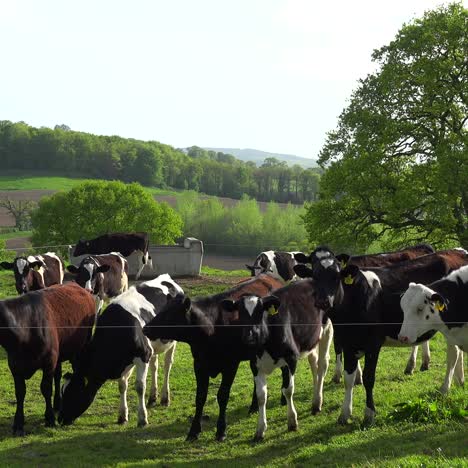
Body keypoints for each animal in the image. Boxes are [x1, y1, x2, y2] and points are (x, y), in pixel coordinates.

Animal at [0, 282, 95, 436]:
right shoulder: (15, 366)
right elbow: (20, 393)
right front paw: (18, 424)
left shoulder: (49, 362)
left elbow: (46, 389)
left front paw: (49, 418)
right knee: (58, 375)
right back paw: (57, 403)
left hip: (82, 344)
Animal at [57, 274, 184, 428]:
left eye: (73, 392)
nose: (60, 419)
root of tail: (166, 278)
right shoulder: (136, 357)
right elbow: (122, 385)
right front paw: (122, 416)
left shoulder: (142, 355)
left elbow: (140, 386)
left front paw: (142, 419)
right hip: (154, 347)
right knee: (154, 366)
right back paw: (153, 397)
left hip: (172, 341)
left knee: (167, 366)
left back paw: (165, 398)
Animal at [143, 272, 284, 440]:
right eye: (162, 310)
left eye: (169, 315)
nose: (145, 329)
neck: (212, 327)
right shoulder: (199, 364)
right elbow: (200, 397)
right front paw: (193, 431)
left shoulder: (231, 365)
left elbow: (222, 395)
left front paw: (221, 430)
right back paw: (254, 406)